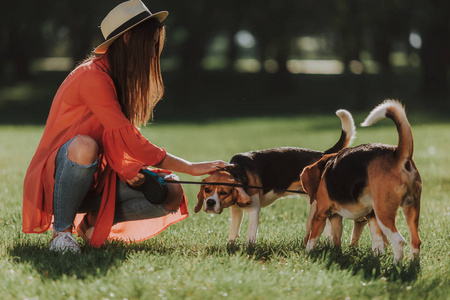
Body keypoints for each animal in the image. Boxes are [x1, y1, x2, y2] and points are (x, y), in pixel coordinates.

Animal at [195, 109, 356, 245]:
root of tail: (322, 154)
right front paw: (230, 245)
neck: (238, 170)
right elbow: (233, 230)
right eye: (207, 190)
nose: (210, 202)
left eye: (224, 192)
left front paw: (248, 249)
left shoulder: (254, 209)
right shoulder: (236, 210)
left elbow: (250, 233)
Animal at [302, 100, 422, 262]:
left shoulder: (321, 213)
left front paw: (308, 254)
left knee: (399, 241)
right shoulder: (367, 216)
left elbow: (312, 239)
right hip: (411, 209)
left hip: (383, 213)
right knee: (415, 241)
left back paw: (397, 265)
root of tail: (398, 154)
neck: (327, 166)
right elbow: (373, 241)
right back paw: (413, 264)